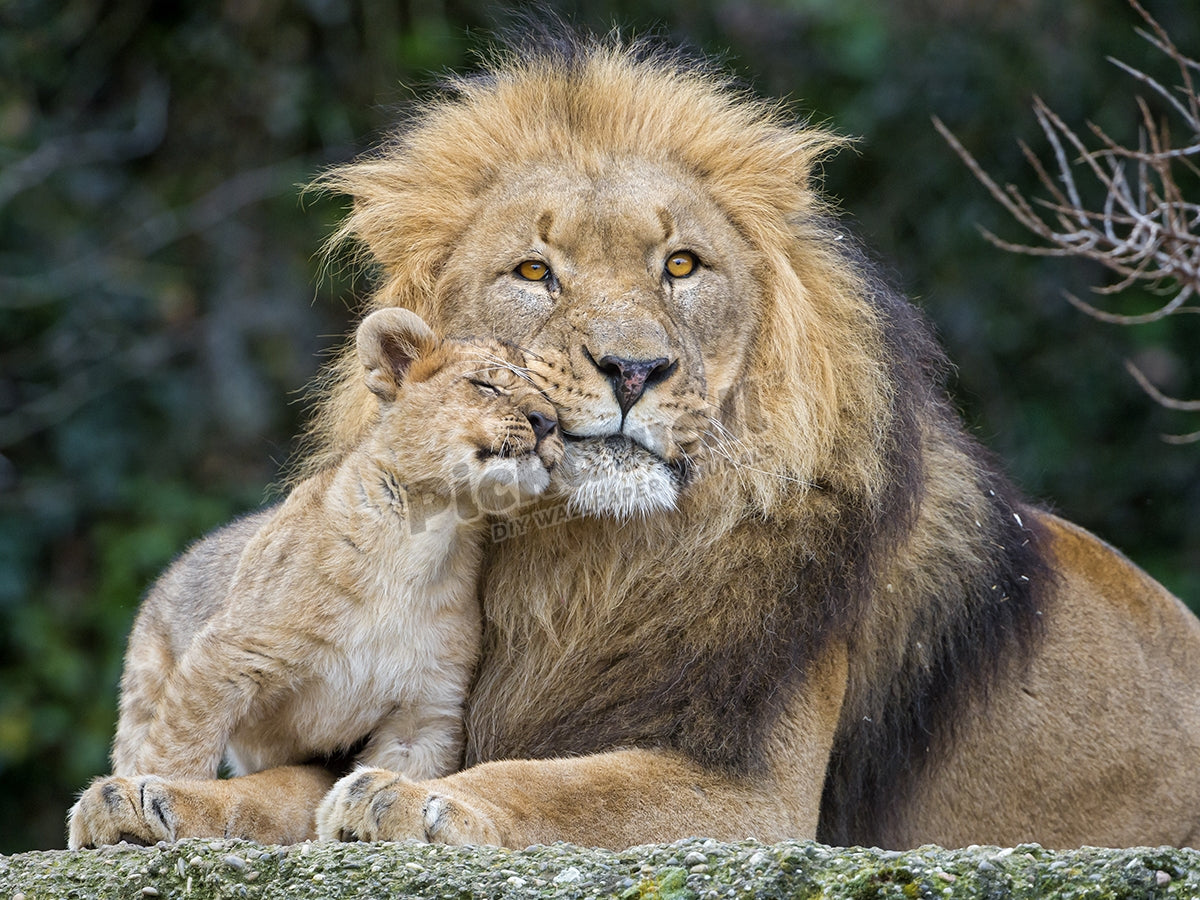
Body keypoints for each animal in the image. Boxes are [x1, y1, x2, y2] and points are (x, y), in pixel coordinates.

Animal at [67, 309, 562, 849]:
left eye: (553, 400)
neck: (430, 535)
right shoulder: (228, 655)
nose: (549, 423)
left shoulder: (423, 711)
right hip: (146, 682)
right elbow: (179, 748)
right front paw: (150, 798)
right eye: (486, 385)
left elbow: (396, 774)